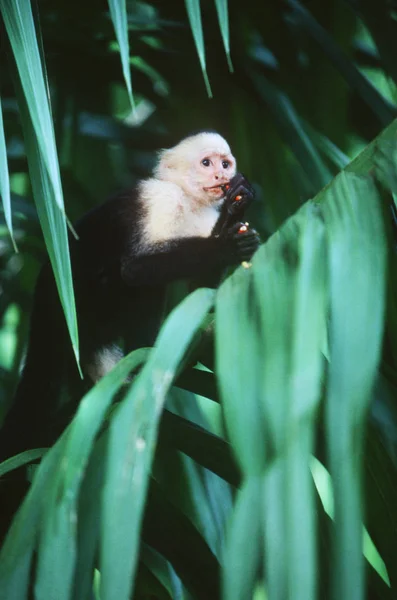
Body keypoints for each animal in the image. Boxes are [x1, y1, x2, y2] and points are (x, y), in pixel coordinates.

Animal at [0, 132, 258, 460]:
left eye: (225, 164)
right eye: (206, 163)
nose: (220, 176)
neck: (187, 201)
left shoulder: (205, 217)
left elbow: (201, 290)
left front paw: (238, 206)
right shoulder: (160, 200)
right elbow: (135, 270)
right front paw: (228, 245)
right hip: (68, 304)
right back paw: (146, 351)